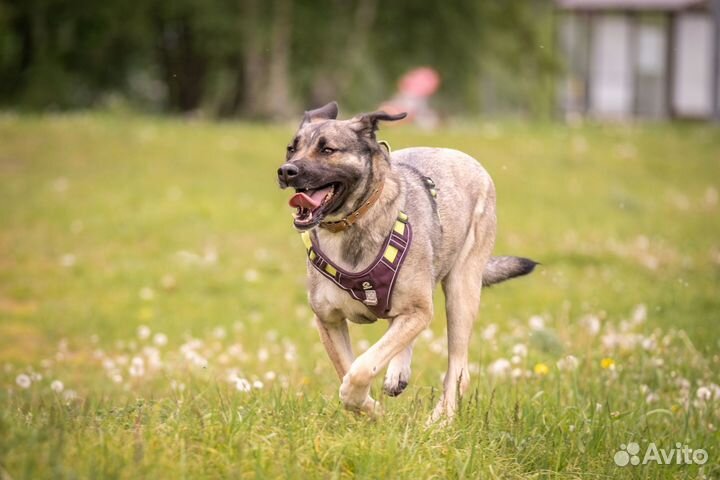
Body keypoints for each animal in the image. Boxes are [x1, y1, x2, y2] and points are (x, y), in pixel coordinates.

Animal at [278, 102, 536, 420]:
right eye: (291, 149)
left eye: (328, 150)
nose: (286, 171)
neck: (353, 222)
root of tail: (458, 155)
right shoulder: (329, 319)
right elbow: (348, 368)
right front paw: (371, 410)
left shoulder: (419, 309)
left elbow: (360, 369)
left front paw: (367, 404)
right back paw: (398, 373)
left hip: (461, 290)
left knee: (458, 371)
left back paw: (441, 420)